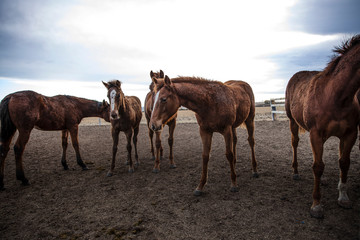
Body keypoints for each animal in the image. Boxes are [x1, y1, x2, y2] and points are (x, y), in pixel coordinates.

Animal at [286, 34, 360, 218]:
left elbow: (344, 162)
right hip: (293, 122)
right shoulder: (316, 134)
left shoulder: (350, 134)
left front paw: (343, 197)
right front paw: (316, 205)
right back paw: (296, 172)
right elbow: (318, 166)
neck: (338, 97)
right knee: (295, 144)